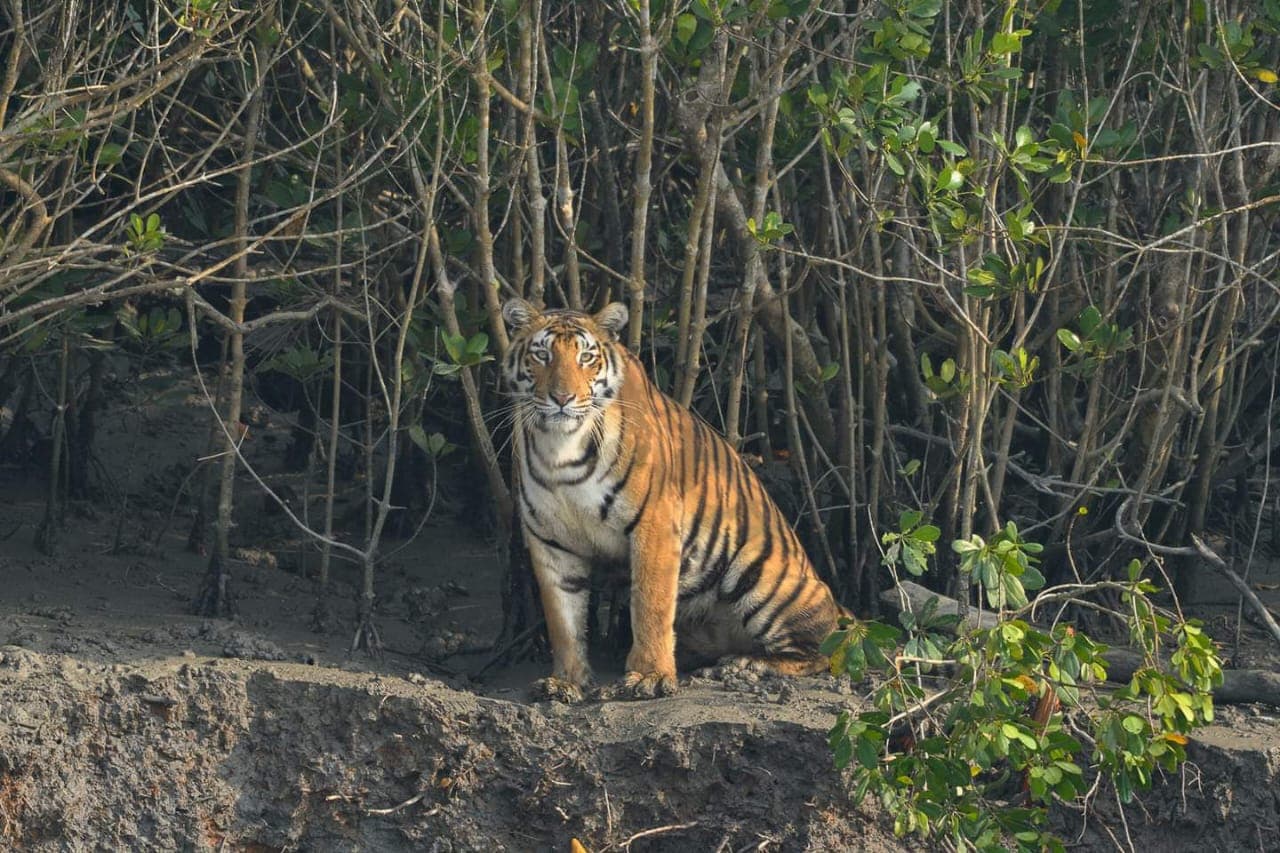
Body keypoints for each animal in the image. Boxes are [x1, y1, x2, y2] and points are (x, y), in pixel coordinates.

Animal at [501, 298, 848, 702]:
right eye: (542, 355)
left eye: (586, 357)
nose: (562, 398)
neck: (560, 449)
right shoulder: (552, 541)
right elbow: (564, 620)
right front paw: (566, 681)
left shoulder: (655, 523)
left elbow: (650, 605)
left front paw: (649, 677)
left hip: (761, 576)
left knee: (822, 652)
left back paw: (747, 665)